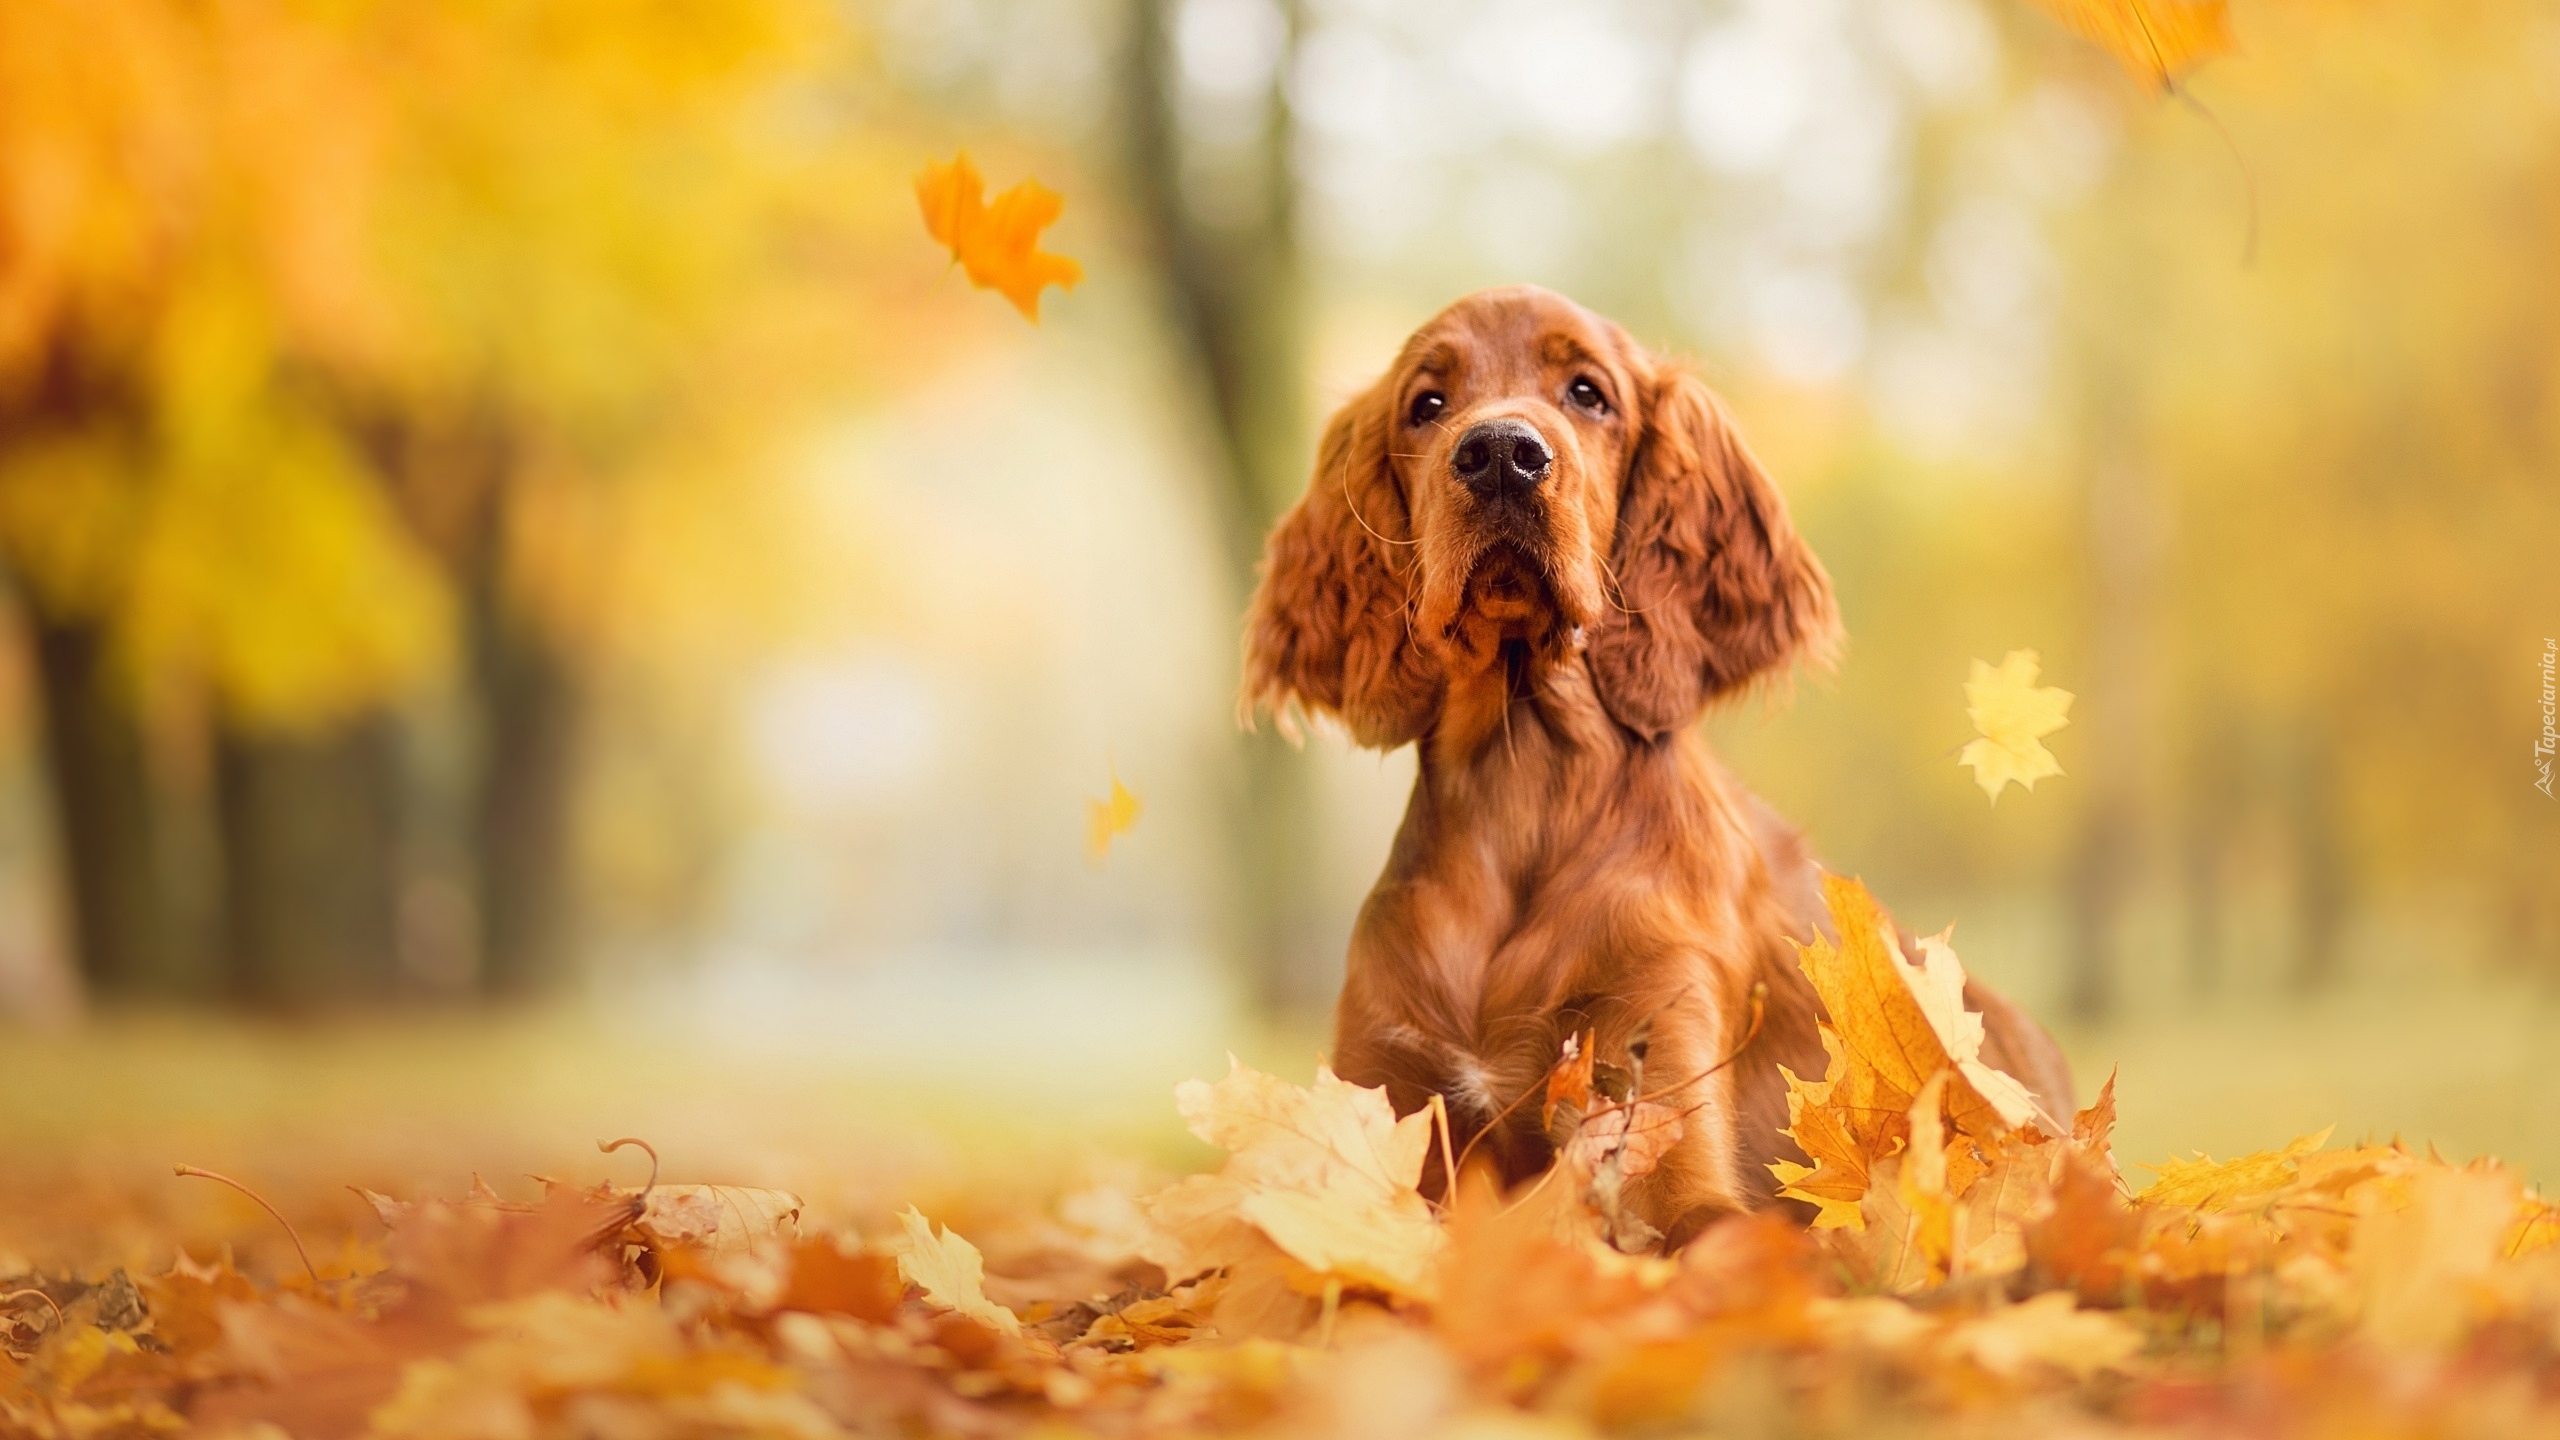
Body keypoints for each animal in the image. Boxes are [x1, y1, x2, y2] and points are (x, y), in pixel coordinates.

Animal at [1244, 283, 2078, 1245]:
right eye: (1427, 402)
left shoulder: (1656, 1082)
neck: (1522, 780)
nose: (1502, 457)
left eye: (1588, 393)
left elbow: (1706, 1228)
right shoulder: (1386, 1095)